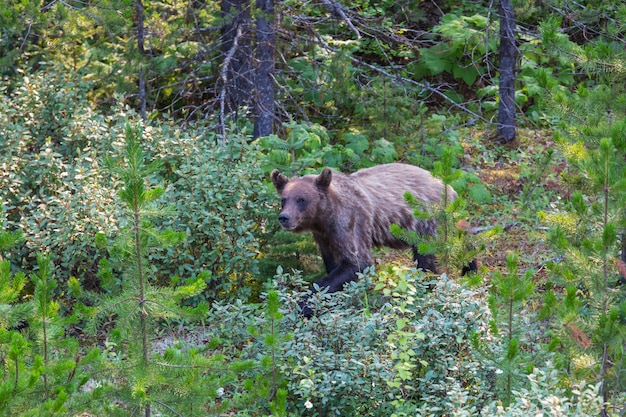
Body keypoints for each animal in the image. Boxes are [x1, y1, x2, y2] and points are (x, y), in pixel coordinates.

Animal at [270, 162, 470, 316]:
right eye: (284, 199)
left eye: (301, 199)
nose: (284, 218)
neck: (324, 217)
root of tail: (451, 189)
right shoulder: (325, 237)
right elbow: (333, 263)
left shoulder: (351, 223)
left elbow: (357, 262)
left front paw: (304, 304)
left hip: (428, 222)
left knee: (429, 259)